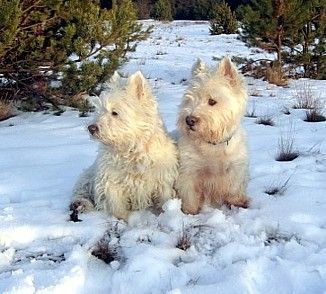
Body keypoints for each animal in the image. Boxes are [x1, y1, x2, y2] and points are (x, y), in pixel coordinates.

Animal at [70, 71, 178, 219]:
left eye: (115, 112)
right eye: (100, 110)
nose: (91, 128)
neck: (131, 150)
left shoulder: (162, 179)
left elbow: (163, 199)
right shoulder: (112, 183)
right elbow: (118, 208)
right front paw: (123, 220)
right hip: (88, 176)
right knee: (82, 191)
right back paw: (79, 203)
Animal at [176, 57, 250, 214]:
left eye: (212, 101)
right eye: (189, 99)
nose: (189, 120)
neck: (212, 143)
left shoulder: (235, 168)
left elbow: (234, 189)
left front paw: (238, 202)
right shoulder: (190, 171)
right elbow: (190, 194)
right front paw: (190, 211)